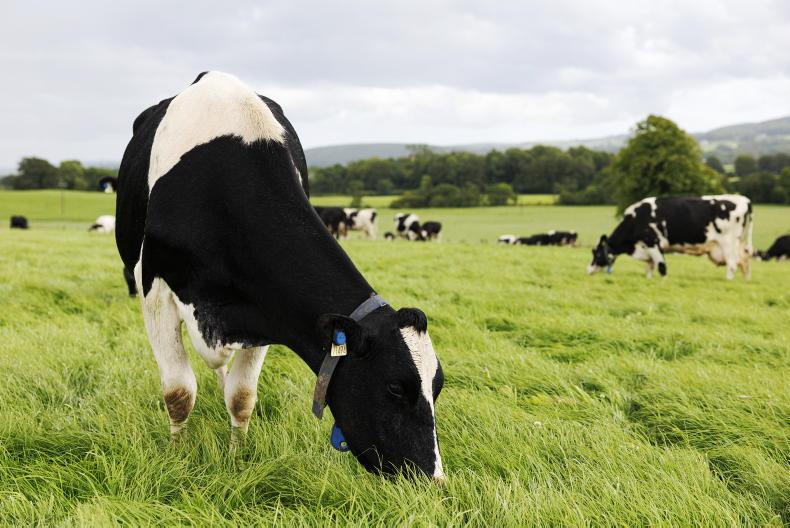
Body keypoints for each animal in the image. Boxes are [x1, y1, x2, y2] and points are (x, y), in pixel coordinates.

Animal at [115, 72, 444, 480]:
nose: (433, 479)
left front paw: (237, 457)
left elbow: (241, 396)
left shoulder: (265, 311)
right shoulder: (154, 288)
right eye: (396, 388)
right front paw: (176, 457)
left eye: (438, 386)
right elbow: (178, 392)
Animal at [588, 195, 752, 280]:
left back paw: (728, 281)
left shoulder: (653, 244)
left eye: (597, 253)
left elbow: (662, 267)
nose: (588, 270)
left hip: (727, 243)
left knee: (732, 265)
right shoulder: (647, 249)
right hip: (738, 245)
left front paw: (663, 282)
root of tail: (744, 199)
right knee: (744, 263)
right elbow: (649, 268)